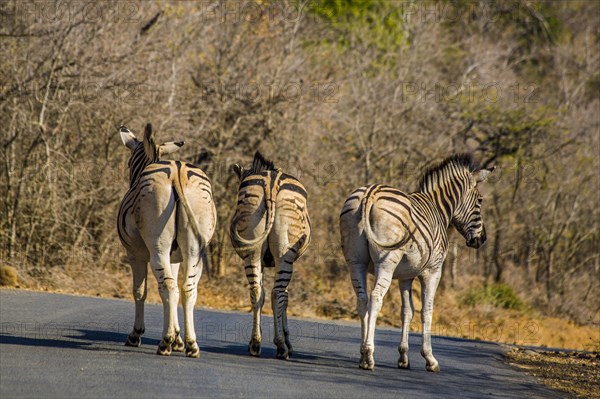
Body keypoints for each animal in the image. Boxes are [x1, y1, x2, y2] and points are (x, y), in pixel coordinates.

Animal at [116, 123, 217, 358]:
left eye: (129, 163)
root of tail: (177, 172)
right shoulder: (175, 258)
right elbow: (176, 294)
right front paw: (178, 339)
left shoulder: (135, 255)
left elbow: (140, 292)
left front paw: (136, 335)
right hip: (193, 250)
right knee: (187, 288)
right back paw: (191, 344)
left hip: (158, 248)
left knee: (168, 287)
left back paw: (164, 343)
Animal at [230, 152, 312, 360]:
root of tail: (271, 183)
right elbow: (286, 297)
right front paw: (288, 340)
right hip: (285, 254)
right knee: (277, 294)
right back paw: (282, 346)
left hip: (252, 250)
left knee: (256, 292)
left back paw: (255, 343)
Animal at [340, 155, 494, 374]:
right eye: (480, 200)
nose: (482, 240)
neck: (439, 209)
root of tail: (370, 193)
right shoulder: (433, 271)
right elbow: (426, 311)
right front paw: (430, 358)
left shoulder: (406, 275)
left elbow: (407, 311)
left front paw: (404, 357)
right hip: (387, 260)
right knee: (376, 298)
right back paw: (369, 355)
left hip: (355, 260)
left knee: (362, 300)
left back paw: (362, 355)